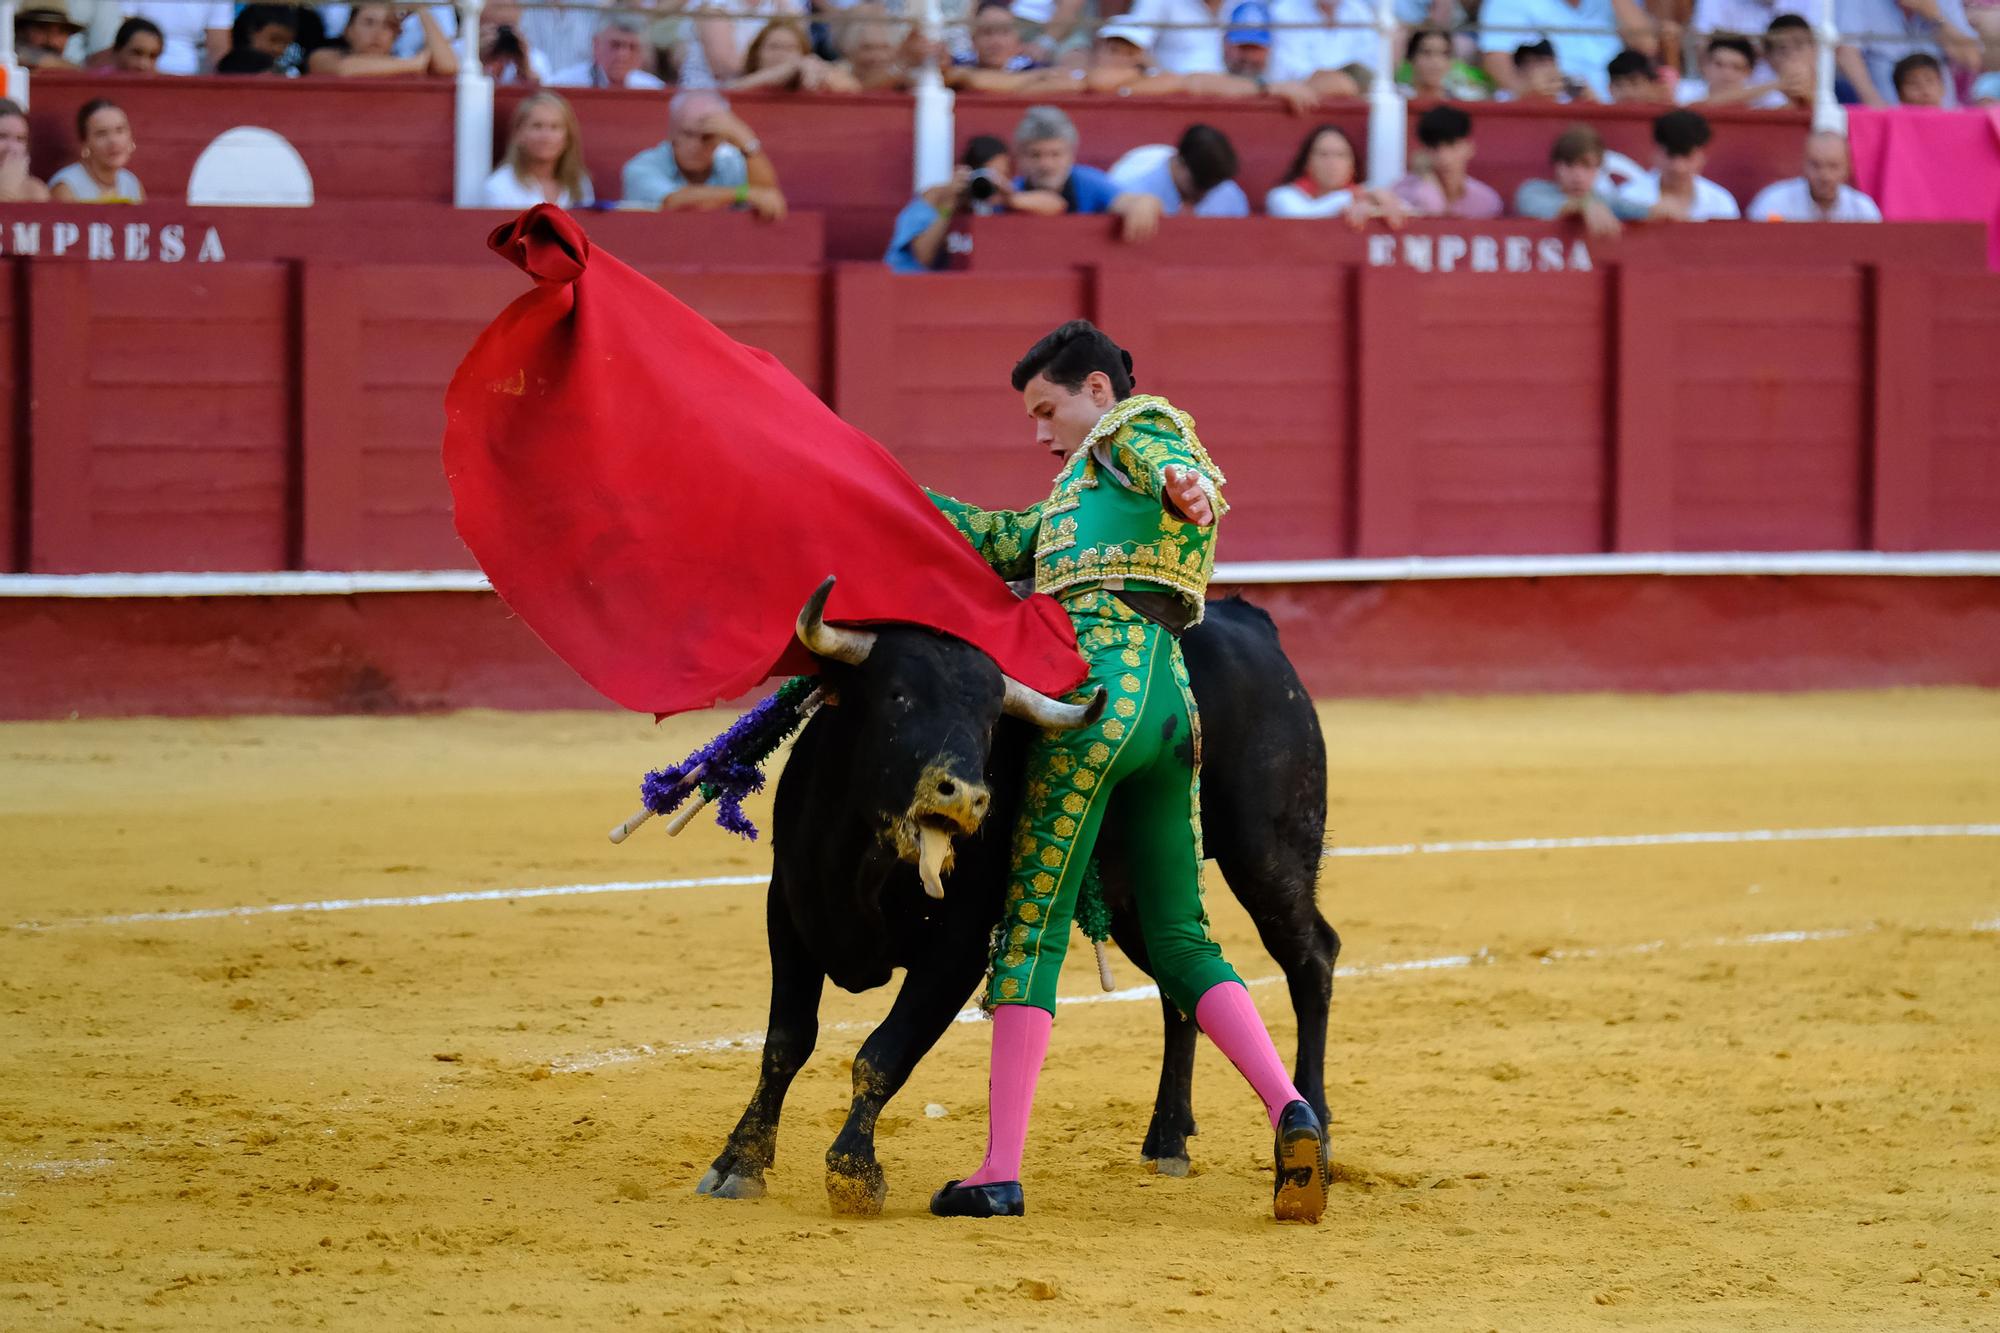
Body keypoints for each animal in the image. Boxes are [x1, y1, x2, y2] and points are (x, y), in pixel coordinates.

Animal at [696, 592, 1336, 1216]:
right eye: (897, 695)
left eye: (989, 721)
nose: (965, 797)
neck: (867, 860)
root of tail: (1248, 620)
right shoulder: (788, 911)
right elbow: (786, 1043)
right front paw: (738, 1164)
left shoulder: (957, 949)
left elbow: (885, 1052)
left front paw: (854, 1171)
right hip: (1138, 896)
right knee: (1181, 979)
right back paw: (1169, 1140)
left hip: (1268, 853)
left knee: (1311, 958)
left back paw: (1315, 1133)